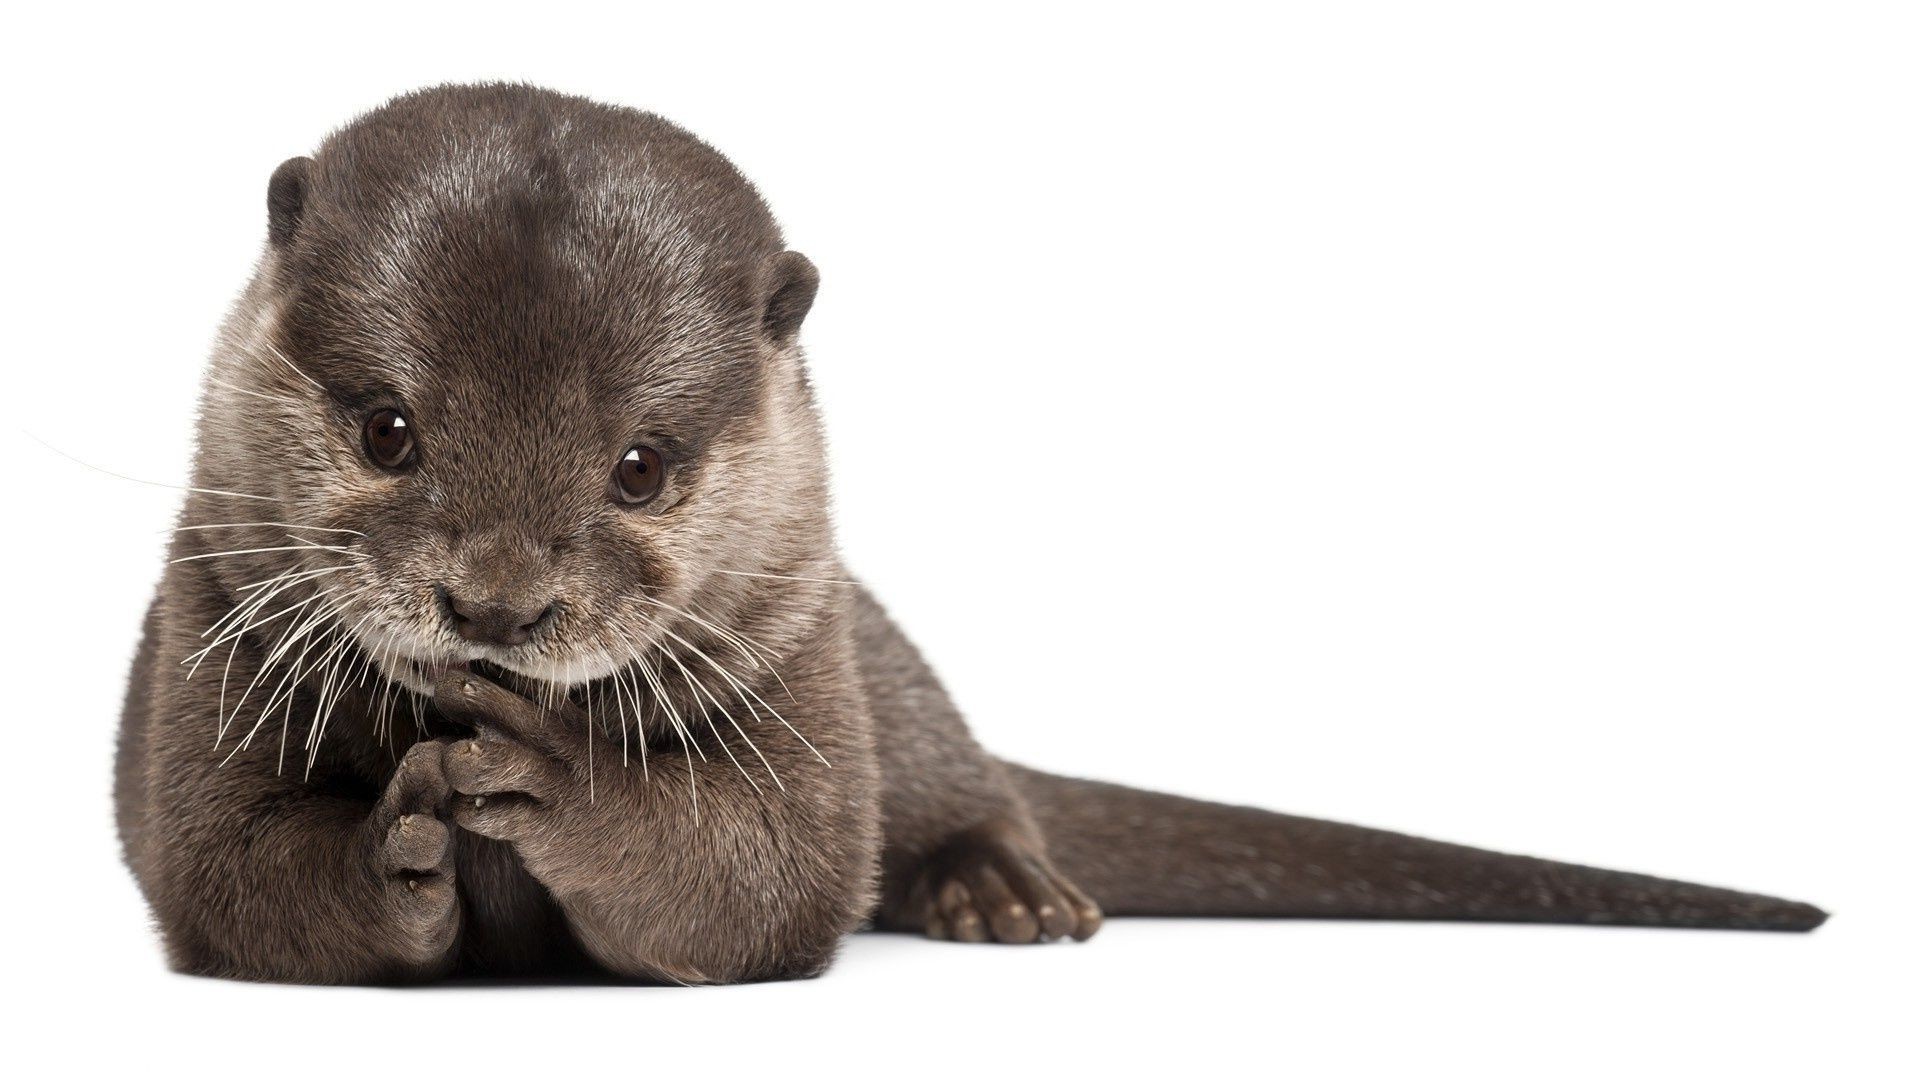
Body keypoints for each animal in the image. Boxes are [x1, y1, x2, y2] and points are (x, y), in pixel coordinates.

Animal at [112, 82, 1820, 976]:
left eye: (643, 467)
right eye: (387, 429)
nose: (496, 607)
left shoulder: (801, 650)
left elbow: (778, 873)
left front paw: (550, 778)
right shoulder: (206, 621)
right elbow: (217, 869)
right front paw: (392, 838)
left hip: (884, 671)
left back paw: (1008, 894)